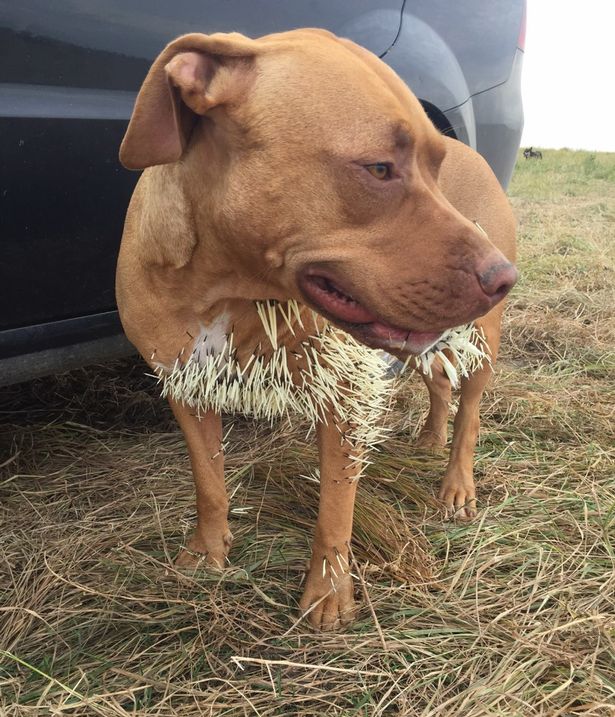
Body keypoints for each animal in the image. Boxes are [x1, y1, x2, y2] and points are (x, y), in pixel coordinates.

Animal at [118, 30, 516, 628]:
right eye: (379, 169)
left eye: (435, 168)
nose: (503, 277)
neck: (227, 283)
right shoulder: (185, 387)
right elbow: (208, 481)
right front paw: (208, 550)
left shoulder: (344, 393)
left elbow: (335, 505)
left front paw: (328, 593)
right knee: (440, 382)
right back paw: (429, 437)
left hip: (480, 341)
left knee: (469, 410)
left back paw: (456, 484)